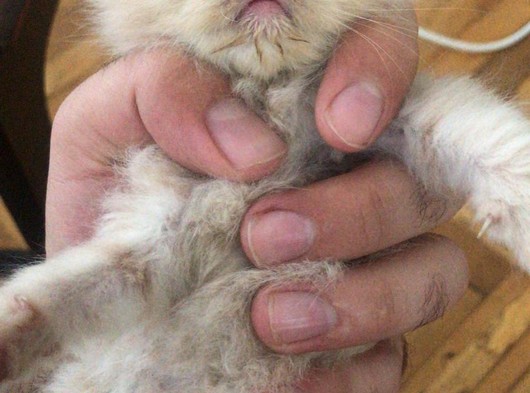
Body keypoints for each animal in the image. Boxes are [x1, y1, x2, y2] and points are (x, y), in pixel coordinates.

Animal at [1, 0, 528, 392]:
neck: (269, 100)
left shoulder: (379, 117)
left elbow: (479, 134)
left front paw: (521, 209)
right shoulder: (152, 252)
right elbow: (66, 292)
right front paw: (10, 338)